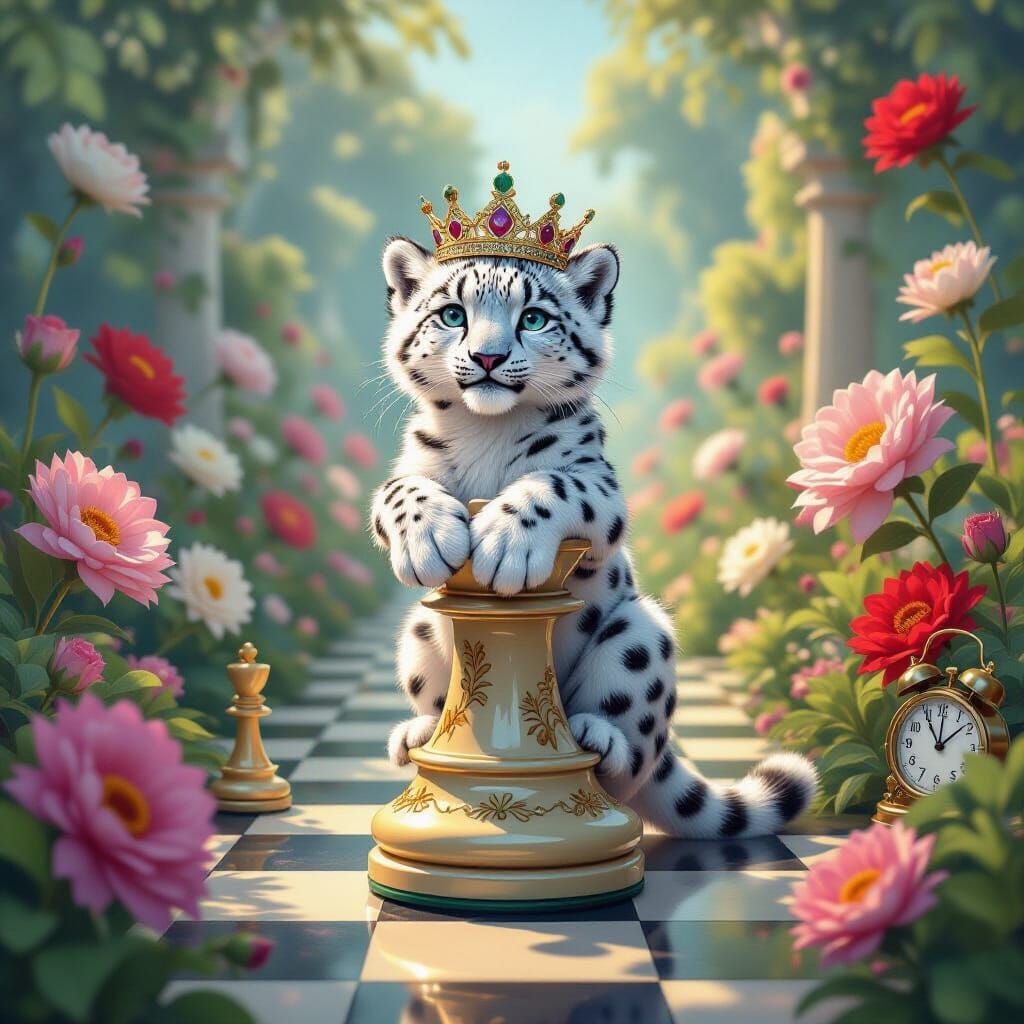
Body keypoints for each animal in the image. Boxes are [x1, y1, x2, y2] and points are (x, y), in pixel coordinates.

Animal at [369, 236, 816, 838]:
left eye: (533, 317)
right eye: (453, 314)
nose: (487, 357)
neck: (488, 430)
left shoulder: (601, 489)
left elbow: (553, 483)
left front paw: (504, 543)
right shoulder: (411, 466)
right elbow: (397, 491)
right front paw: (429, 541)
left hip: (642, 638)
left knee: (630, 767)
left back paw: (597, 737)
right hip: (417, 635)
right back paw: (416, 733)